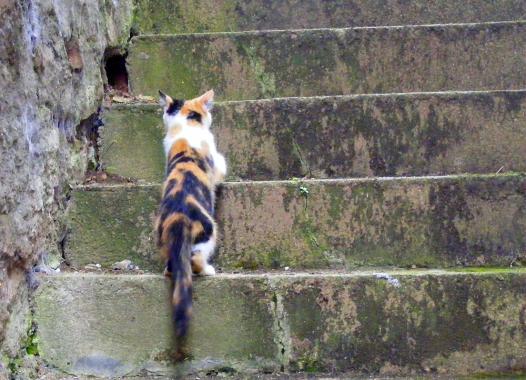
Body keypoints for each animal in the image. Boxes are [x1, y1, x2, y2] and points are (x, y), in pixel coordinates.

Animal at [154, 89, 226, 338]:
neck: (185, 125)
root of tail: (178, 216)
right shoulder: (216, 160)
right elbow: (222, 166)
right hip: (209, 232)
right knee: (195, 258)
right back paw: (208, 270)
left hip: (164, 240)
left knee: (173, 266)